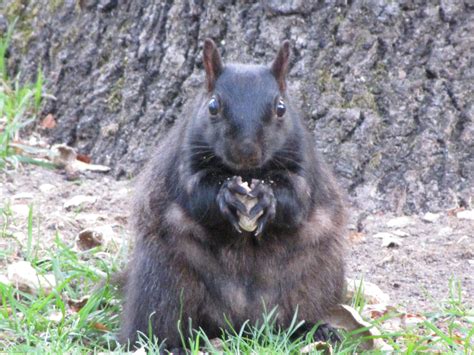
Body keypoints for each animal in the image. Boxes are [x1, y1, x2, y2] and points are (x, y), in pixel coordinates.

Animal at [120, 39, 346, 350]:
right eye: (213, 106)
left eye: (281, 108)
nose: (246, 151)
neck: (249, 173)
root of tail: (241, 323)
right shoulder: (185, 160)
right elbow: (195, 193)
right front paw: (225, 195)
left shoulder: (303, 165)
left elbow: (297, 199)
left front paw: (267, 198)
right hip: (162, 279)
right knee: (155, 323)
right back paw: (168, 346)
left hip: (319, 277)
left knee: (300, 314)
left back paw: (316, 330)